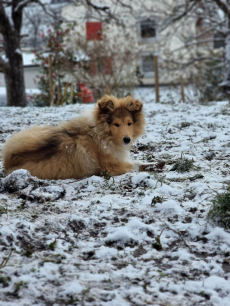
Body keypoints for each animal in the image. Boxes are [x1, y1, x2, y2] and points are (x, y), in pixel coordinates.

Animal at [2, 94, 146, 178]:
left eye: (129, 123)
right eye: (116, 124)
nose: (127, 140)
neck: (101, 135)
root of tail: (7, 161)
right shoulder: (112, 167)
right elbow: (136, 164)